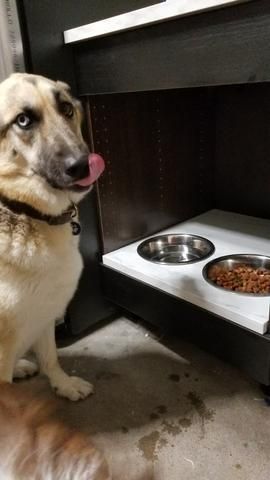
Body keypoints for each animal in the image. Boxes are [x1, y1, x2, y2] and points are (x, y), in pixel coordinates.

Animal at [0, 72, 104, 402]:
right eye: (23, 120)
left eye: (67, 109)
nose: (83, 165)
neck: (25, 212)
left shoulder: (44, 312)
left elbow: (50, 358)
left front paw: (64, 385)